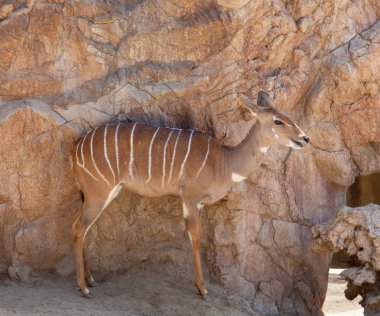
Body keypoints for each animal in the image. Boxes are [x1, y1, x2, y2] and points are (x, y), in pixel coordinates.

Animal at [71, 90, 308, 298]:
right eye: (278, 121)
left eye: (288, 117)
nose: (305, 138)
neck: (223, 162)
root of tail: (77, 147)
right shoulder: (190, 199)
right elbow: (195, 237)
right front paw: (202, 289)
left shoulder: (198, 204)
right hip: (97, 193)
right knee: (79, 228)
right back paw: (84, 288)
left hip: (105, 192)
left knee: (83, 228)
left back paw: (91, 280)